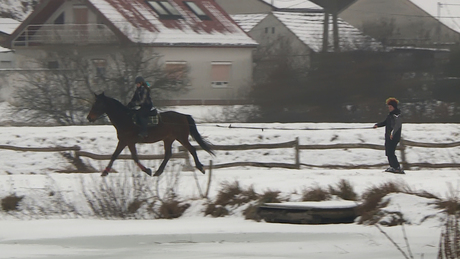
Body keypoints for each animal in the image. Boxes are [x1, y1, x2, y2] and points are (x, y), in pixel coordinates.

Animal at [87, 93, 215, 177]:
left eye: (98, 103)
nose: (89, 118)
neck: (125, 119)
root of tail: (183, 116)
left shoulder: (125, 141)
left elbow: (118, 156)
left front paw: (147, 171)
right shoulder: (128, 142)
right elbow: (129, 157)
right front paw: (105, 171)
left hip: (181, 138)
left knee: (192, 149)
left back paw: (201, 167)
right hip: (168, 139)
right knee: (168, 154)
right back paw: (158, 171)